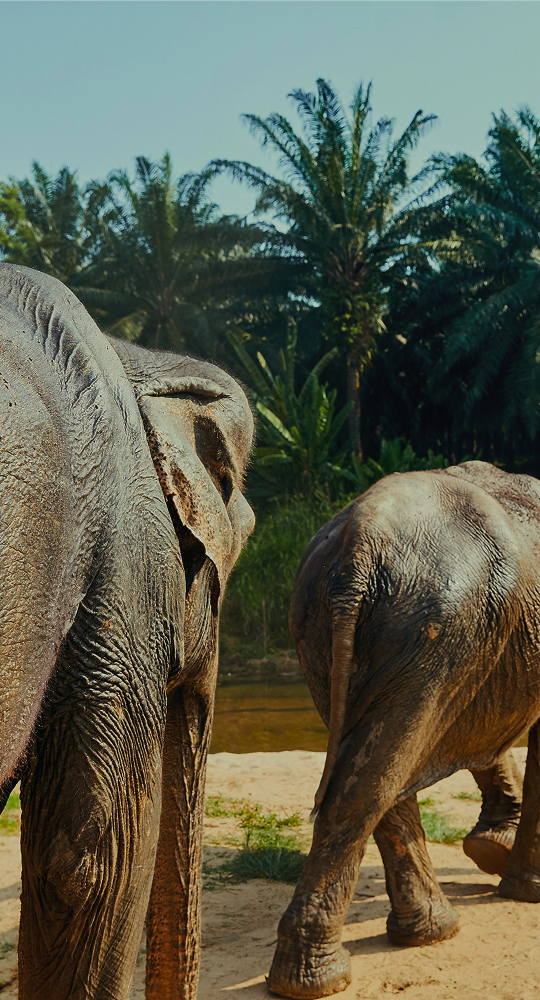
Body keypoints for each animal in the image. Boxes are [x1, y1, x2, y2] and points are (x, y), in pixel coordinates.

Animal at [267, 461, 540, 999]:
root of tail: (363, 537)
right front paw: (526, 889)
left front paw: (492, 853)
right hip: (434, 625)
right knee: (374, 779)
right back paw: (320, 980)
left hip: (328, 627)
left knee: (380, 769)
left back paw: (427, 934)